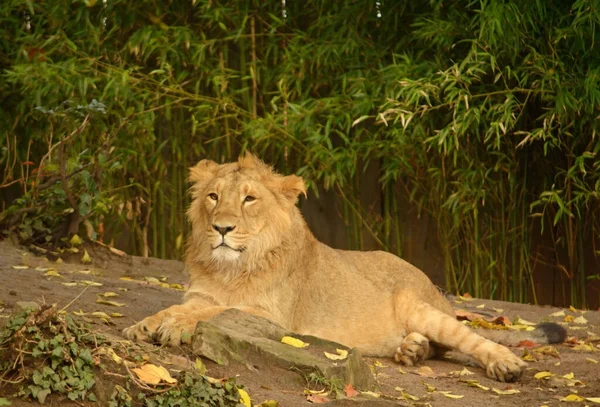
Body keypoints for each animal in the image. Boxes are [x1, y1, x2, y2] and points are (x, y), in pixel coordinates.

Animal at [124, 153, 564, 382]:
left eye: (249, 199)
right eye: (213, 197)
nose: (221, 228)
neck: (230, 268)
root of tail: (433, 288)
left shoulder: (274, 319)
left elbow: (215, 311)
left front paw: (172, 328)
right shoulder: (201, 294)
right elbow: (185, 306)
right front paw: (145, 325)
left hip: (419, 305)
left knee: (467, 339)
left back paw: (504, 365)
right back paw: (411, 350)